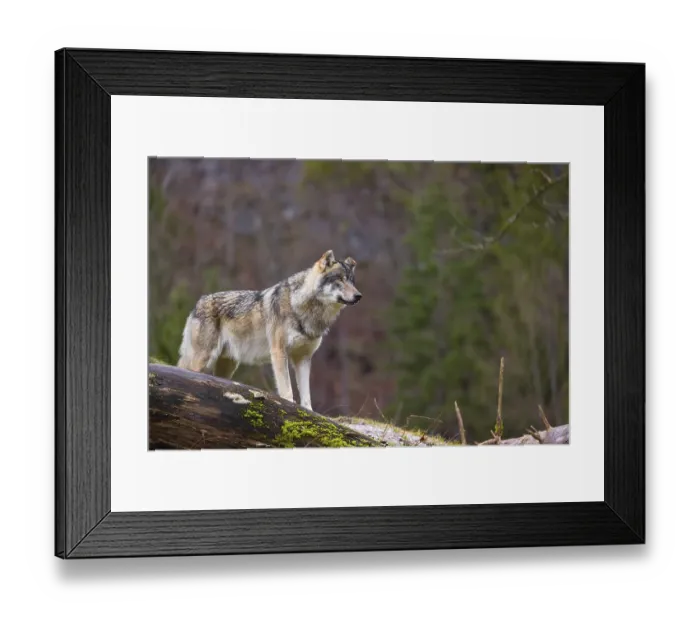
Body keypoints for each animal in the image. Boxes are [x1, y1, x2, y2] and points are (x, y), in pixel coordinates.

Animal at [177, 250, 362, 411]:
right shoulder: (279, 352)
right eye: (340, 279)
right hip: (202, 359)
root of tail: (198, 303)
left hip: (226, 367)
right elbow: (287, 390)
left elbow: (306, 397)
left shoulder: (303, 358)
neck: (302, 307)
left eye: (352, 281)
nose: (359, 296)